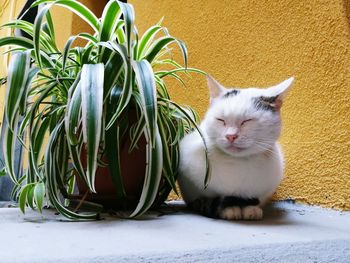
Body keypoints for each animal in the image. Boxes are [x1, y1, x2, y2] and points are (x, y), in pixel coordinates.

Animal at [178, 75, 292, 222]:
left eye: (247, 121)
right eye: (221, 120)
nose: (231, 136)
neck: (239, 163)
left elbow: (253, 198)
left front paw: (250, 209)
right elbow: (211, 199)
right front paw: (229, 209)